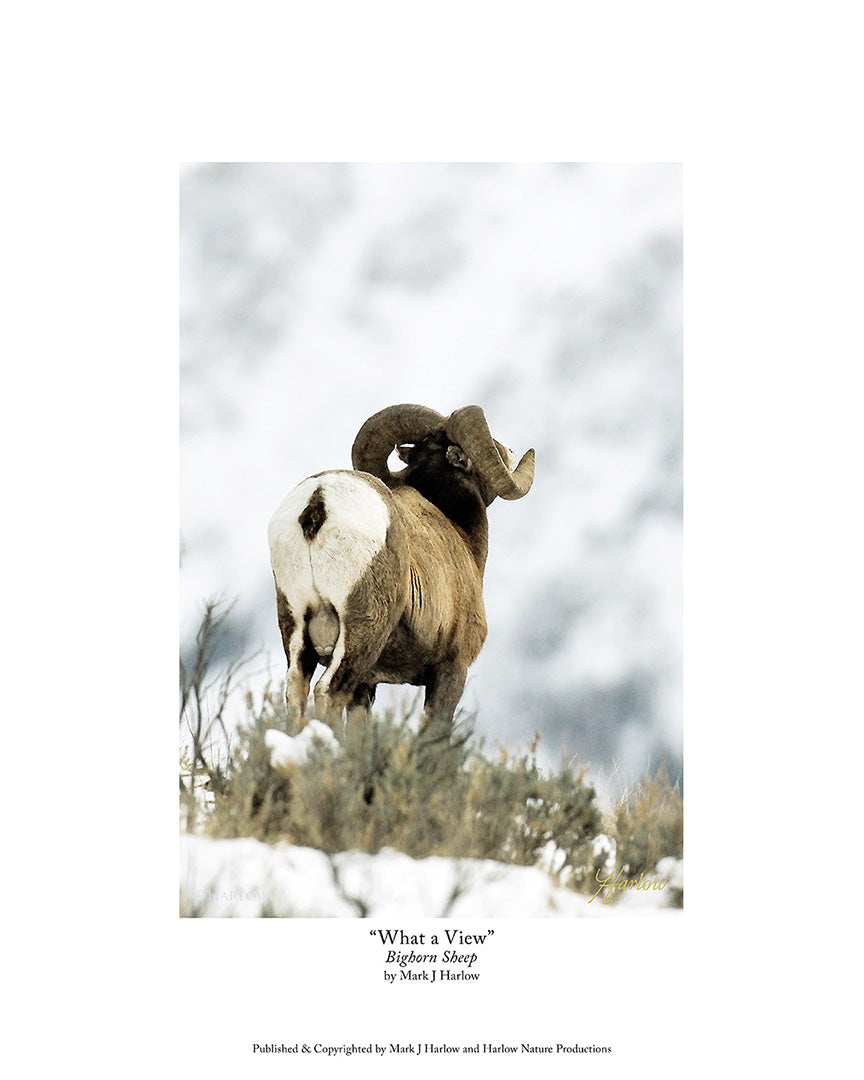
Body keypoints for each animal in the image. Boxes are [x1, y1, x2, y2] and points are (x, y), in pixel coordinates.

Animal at [267, 404, 534, 728]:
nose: (510, 450)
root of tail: (319, 501)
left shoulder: (367, 684)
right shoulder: (451, 670)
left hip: (295, 629)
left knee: (295, 691)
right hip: (360, 634)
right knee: (329, 692)